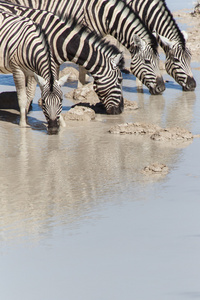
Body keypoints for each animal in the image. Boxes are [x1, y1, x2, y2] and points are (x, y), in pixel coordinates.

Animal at [4, 0, 166, 94]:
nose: (162, 88)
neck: (105, 13)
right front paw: (80, 89)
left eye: (158, 61)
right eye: (147, 62)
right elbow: (83, 66)